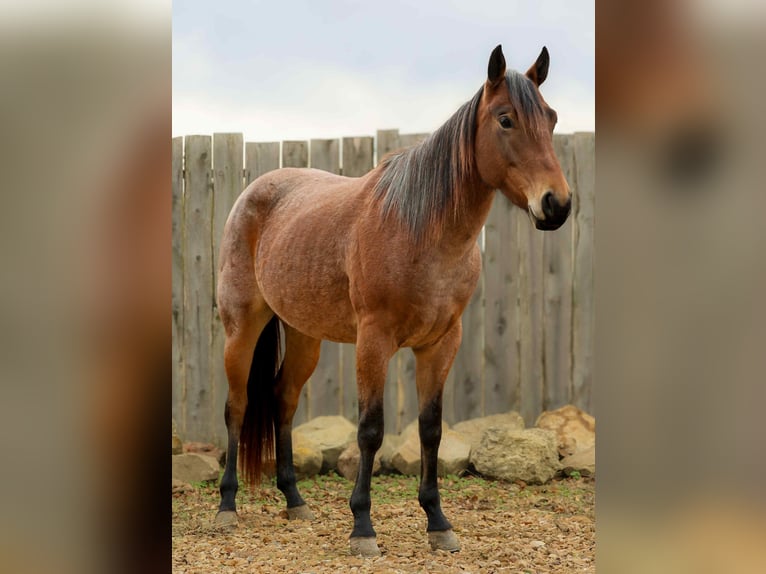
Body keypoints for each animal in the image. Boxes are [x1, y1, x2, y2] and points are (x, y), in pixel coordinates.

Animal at [213, 44, 571, 557]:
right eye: (506, 119)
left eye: (552, 117)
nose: (556, 204)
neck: (418, 228)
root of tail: (253, 193)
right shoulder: (374, 341)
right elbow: (370, 429)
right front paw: (362, 527)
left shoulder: (441, 344)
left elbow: (431, 429)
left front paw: (438, 522)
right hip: (241, 327)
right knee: (237, 406)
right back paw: (227, 507)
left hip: (304, 337)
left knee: (282, 400)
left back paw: (295, 500)